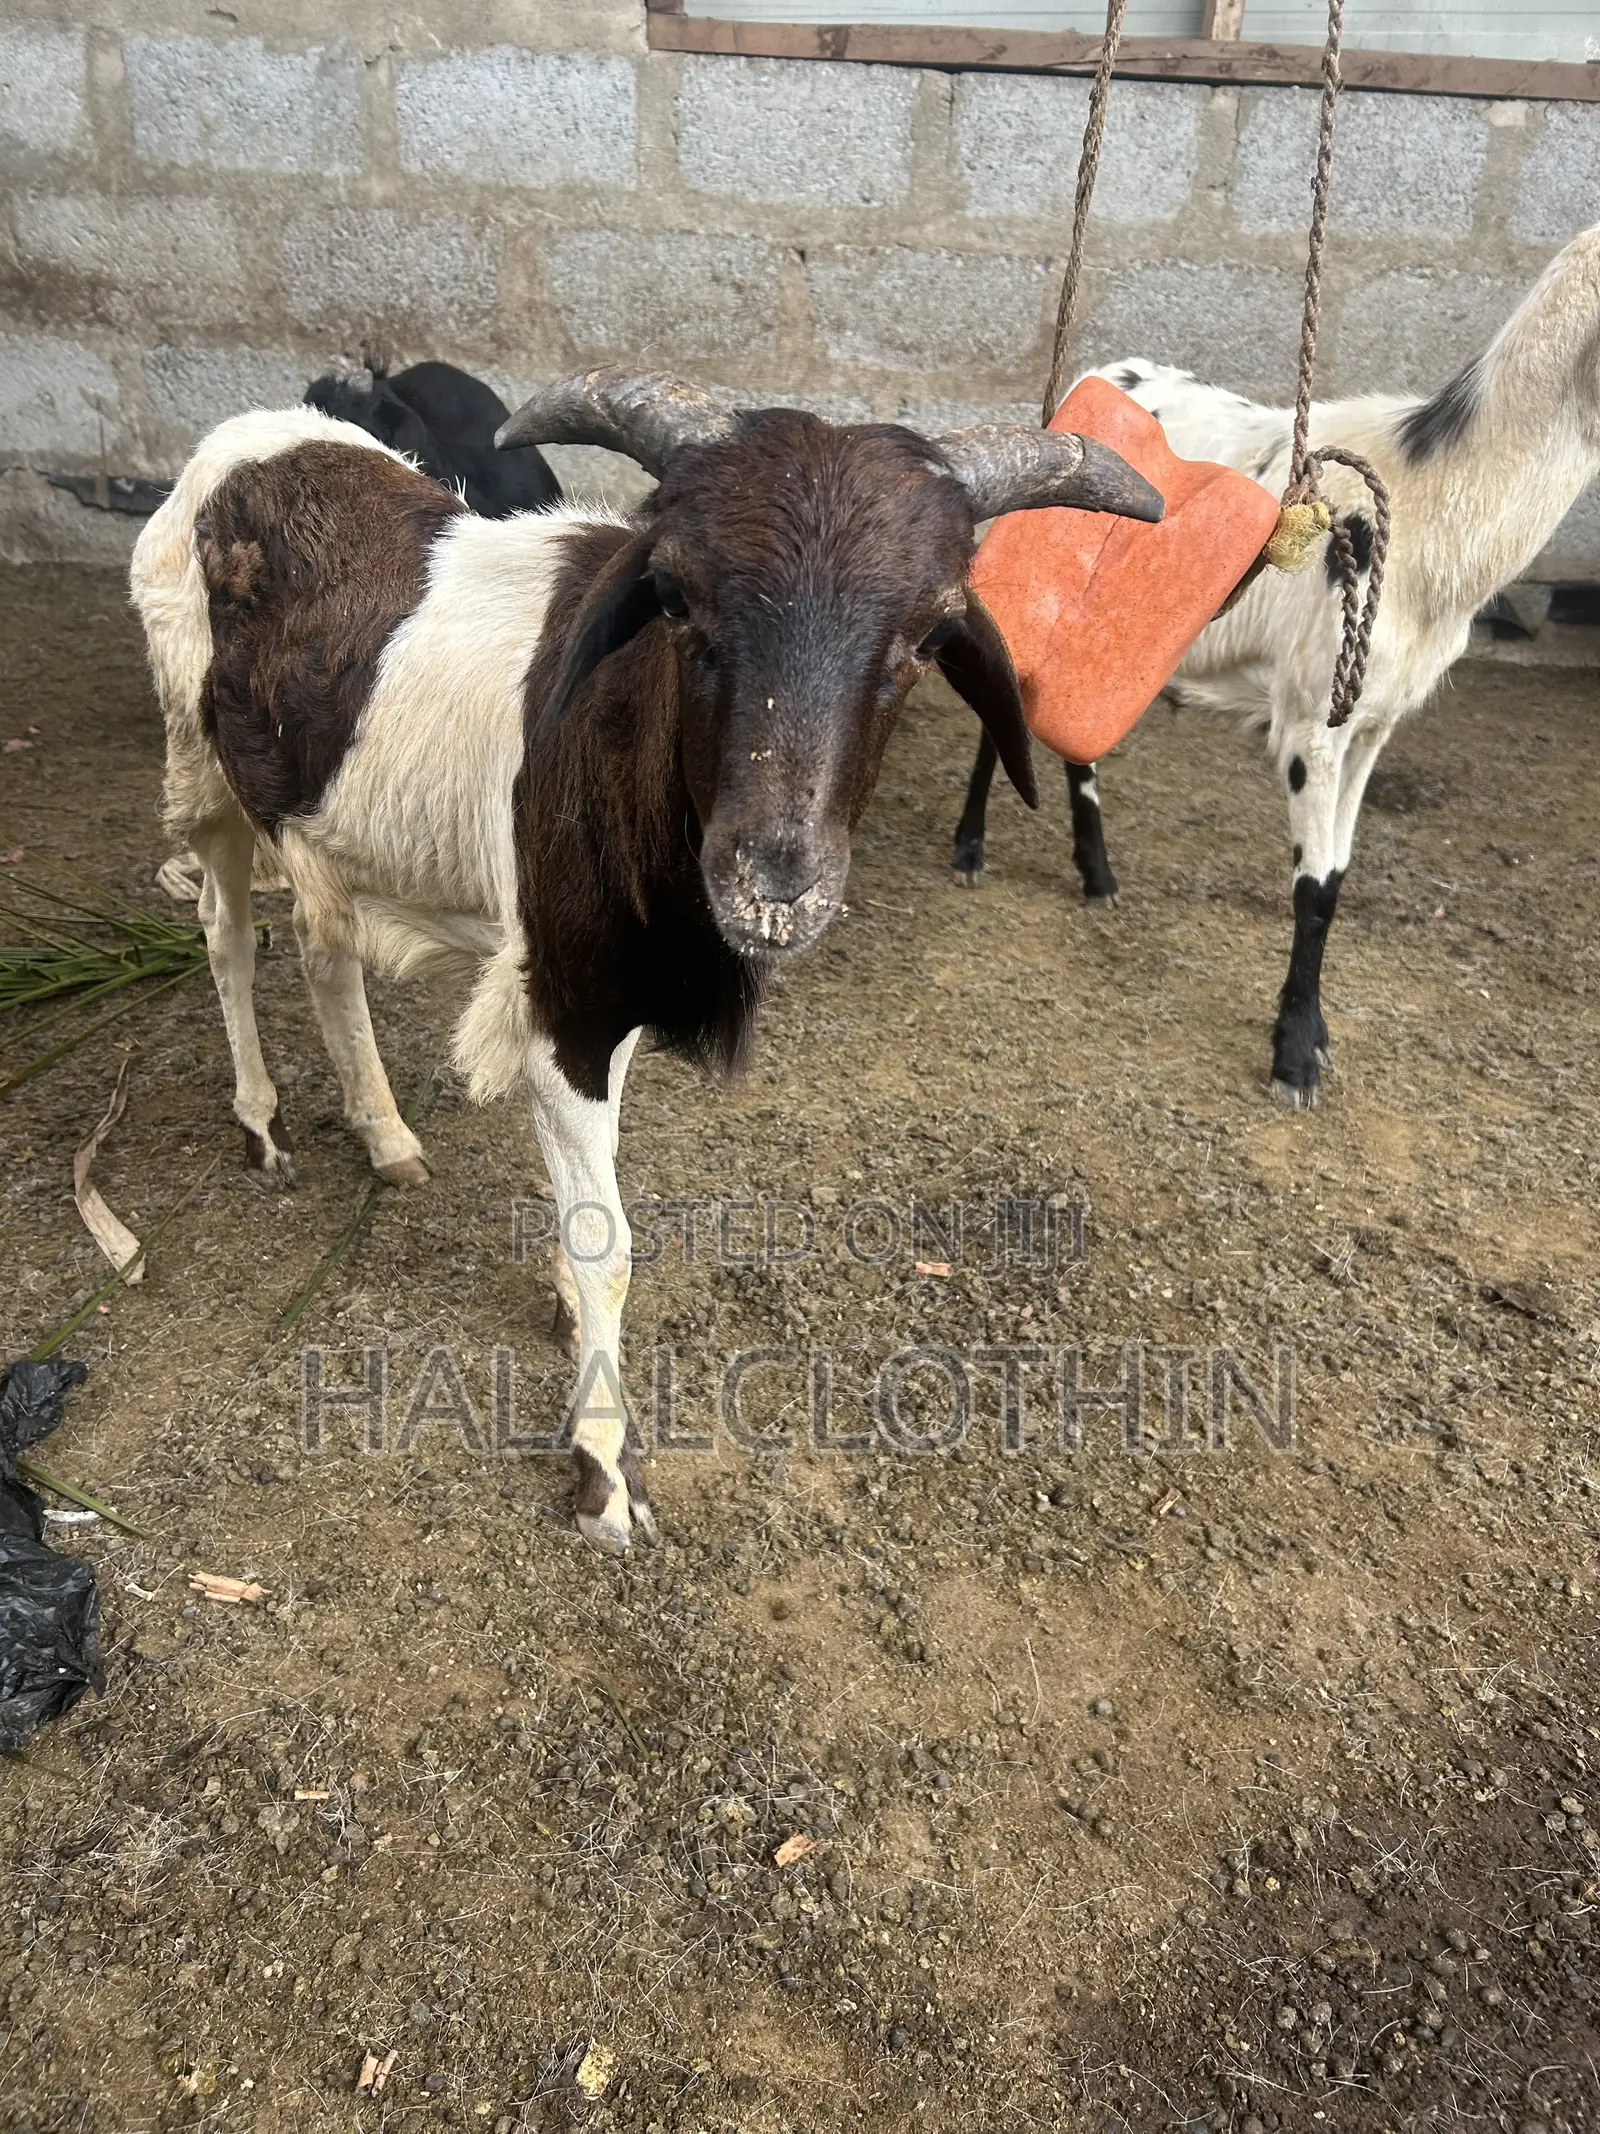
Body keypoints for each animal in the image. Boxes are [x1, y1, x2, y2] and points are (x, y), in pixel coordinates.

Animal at [952, 222, 1600, 1106]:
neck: (1433, 499)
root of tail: (1090, 381)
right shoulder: (1310, 721)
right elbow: (1310, 887)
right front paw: (1293, 1057)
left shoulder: (1371, 724)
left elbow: (1337, 875)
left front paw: (1312, 1040)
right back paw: (970, 850)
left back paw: (1096, 875)